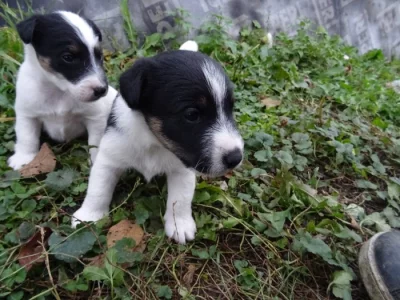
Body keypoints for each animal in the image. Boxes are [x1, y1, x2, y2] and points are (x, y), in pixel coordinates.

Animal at [7, 11, 117, 170]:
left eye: (99, 56)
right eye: (68, 57)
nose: (102, 90)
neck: (59, 91)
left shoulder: (96, 118)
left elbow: (96, 143)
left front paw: (97, 162)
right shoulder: (27, 114)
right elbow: (26, 137)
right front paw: (23, 158)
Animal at [72, 41, 244, 244]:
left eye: (230, 108)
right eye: (192, 114)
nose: (236, 158)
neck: (153, 142)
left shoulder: (182, 169)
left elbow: (180, 199)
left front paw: (180, 225)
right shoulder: (109, 157)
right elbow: (98, 189)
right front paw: (88, 216)